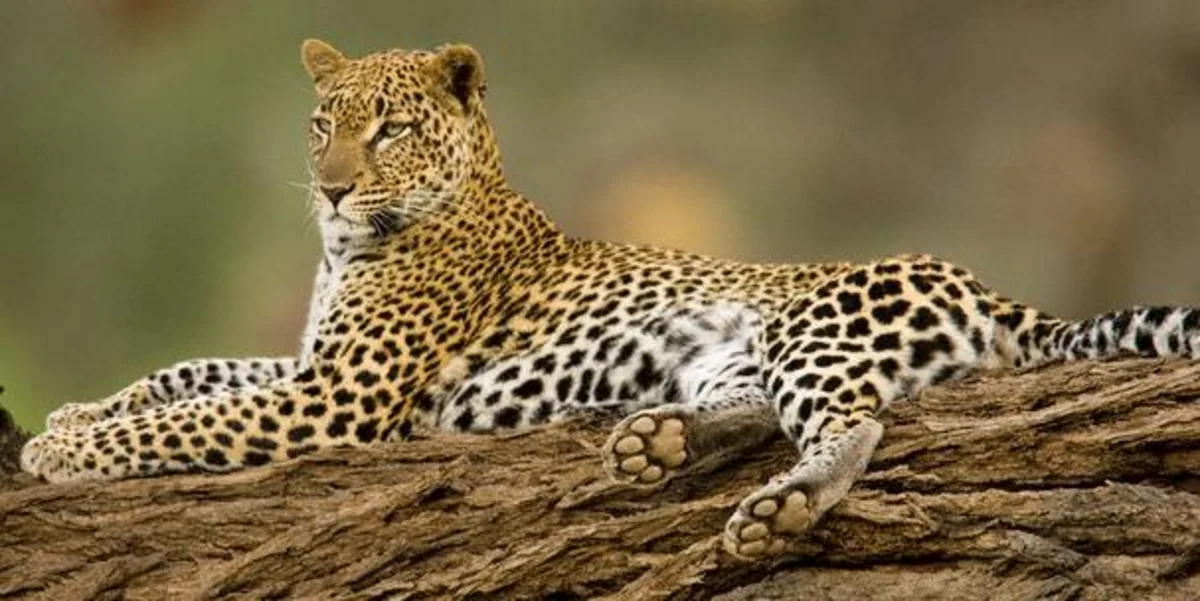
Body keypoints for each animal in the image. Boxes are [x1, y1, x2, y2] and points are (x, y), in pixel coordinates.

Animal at [21, 39, 1200, 559]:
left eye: (389, 129)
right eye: (324, 122)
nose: (332, 185)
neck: (345, 249)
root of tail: (998, 292)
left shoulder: (339, 395)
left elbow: (193, 418)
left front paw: (62, 449)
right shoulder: (313, 365)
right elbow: (190, 373)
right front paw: (77, 411)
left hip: (818, 322)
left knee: (854, 423)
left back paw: (780, 504)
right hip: (735, 349)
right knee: (755, 408)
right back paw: (652, 442)